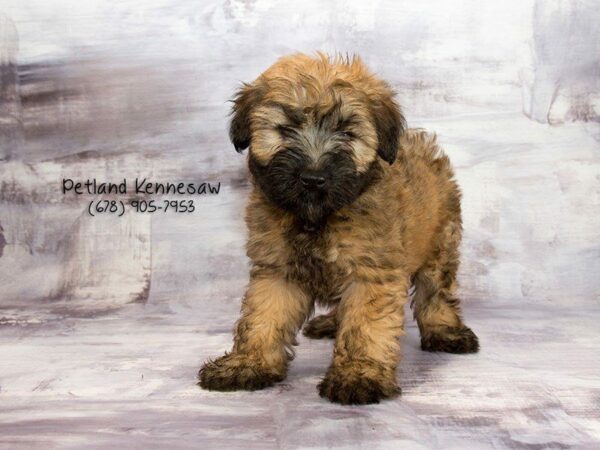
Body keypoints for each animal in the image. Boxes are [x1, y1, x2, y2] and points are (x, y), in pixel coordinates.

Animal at [199, 52, 480, 404]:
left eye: (347, 132)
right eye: (285, 128)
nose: (313, 178)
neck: (317, 217)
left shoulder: (372, 272)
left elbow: (365, 326)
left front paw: (358, 375)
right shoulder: (277, 270)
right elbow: (262, 318)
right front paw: (247, 364)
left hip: (440, 241)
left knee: (436, 293)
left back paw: (446, 331)